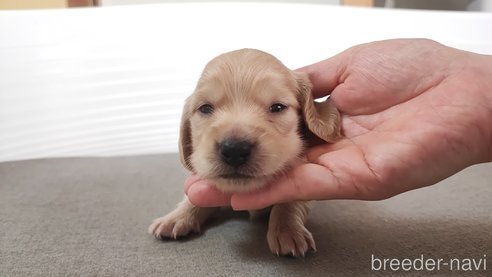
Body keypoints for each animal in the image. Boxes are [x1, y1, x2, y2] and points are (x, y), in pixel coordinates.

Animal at [148, 48, 340, 256]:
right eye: (205, 108)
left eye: (277, 107)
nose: (234, 150)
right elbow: (194, 197)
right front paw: (177, 216)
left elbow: (291, 201)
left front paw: (288, 230)